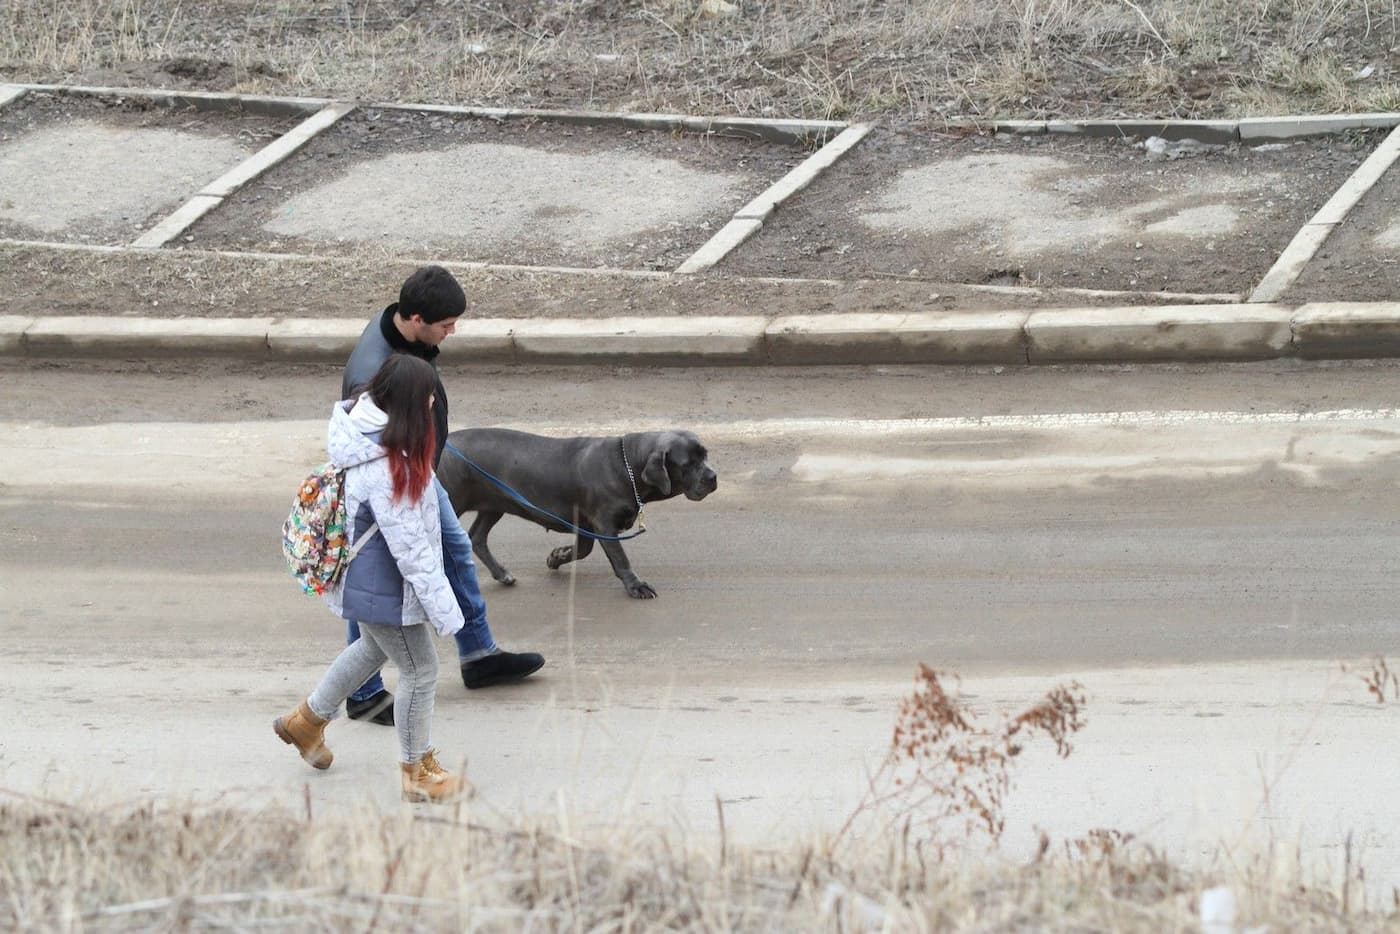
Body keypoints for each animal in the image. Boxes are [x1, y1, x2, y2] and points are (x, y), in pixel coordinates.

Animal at [439, 428, 722, 599]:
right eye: (688, 464)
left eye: (705, 455)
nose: (713, 477)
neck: (627, 464)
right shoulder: (603, 523)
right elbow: (620, 558)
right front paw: (635, 585)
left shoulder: (586, 524)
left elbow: (582, 550)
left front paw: (556, 556)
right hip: (454, 502)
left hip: (494, 504)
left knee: (477, 537)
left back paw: (501, 573)